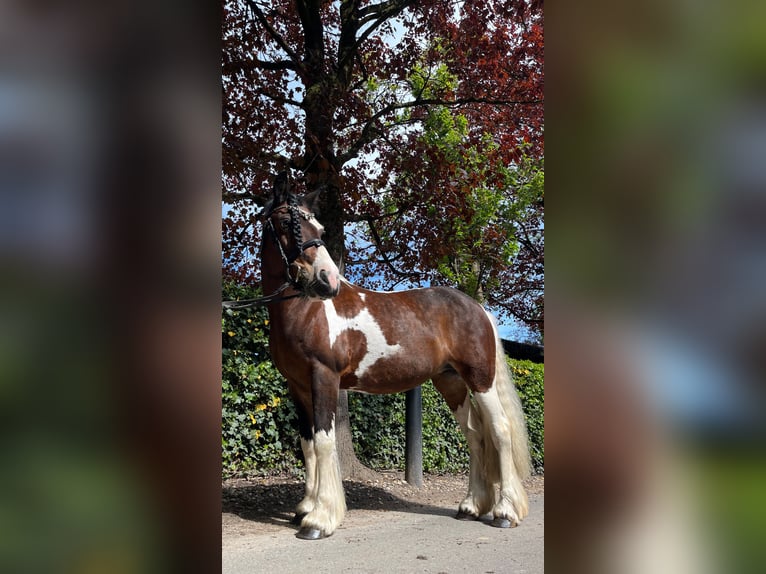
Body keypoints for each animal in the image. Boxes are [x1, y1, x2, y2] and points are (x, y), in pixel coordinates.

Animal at [260, 179, 531, 540]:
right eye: (287, 223)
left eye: (318, 227)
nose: (327, 280)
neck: (307, 311)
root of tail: (478, 308)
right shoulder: (298, 386)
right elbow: (307, 445)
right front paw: (305, 508)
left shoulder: (323, 378)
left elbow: (324, 442)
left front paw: (319, 519)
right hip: (451, 382)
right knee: (475, 434)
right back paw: (471, 505)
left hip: (479, 378)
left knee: (499, 430)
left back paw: (505, 511)